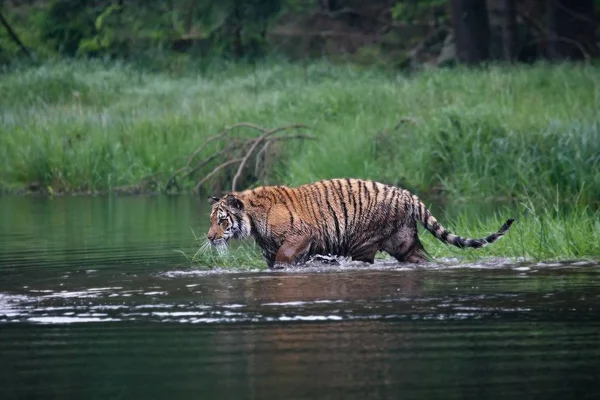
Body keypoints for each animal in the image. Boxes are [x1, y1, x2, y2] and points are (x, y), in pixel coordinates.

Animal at [205, 178, 510, 268]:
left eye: (222, 220)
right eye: (211, 221)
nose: (209, 237)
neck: (254, 221)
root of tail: (407, 194)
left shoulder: (301, 235)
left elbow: (285, 257)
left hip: (363, 242)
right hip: (403, 241)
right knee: (420, 257)